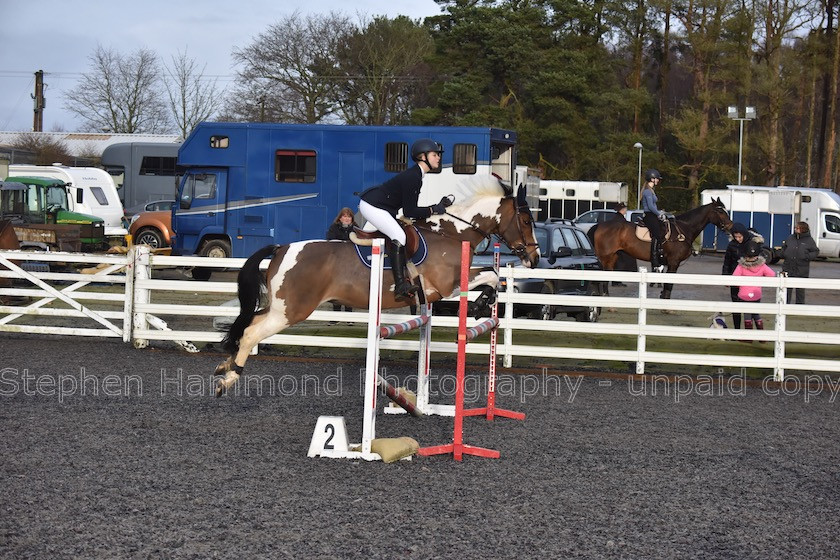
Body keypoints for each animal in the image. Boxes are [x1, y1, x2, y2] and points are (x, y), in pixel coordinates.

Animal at [212, 177, 540, 396]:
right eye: (525, 220)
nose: (534, 257)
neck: (452, 233)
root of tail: (281, 248)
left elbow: (491, 272)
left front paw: (483, 304)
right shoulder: (447, 285)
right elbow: (492, 275)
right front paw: (481, 304)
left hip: (278, 307)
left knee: (247, 325)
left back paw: (225, 365)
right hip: (291, 311)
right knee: (252, 333)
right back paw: (228, 379)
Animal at [588, 199, 732, 300]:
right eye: (720, 211)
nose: (730, 225)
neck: (683, 229)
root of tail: (600, 225)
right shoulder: (674, 262)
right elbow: (669, 283)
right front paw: (665, 300)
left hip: (612, 257)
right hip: (605, 256)